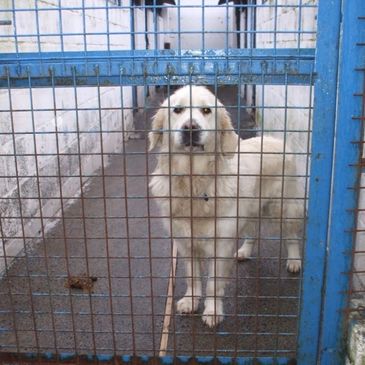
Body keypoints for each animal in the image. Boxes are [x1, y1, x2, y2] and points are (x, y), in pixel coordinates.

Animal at [148, 86, 302, 328]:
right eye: (177, 110)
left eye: (206, 110)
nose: (190, 128)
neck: (194, 181)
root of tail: (275, 139)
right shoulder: (185, 242)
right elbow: (192, 276)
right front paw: (191, 301)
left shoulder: (220, 246)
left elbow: (213, 283)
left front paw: (212, 311)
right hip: (249, 210)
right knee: (252, 232)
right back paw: (245, 251)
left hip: (284, 206)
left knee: (292, 234)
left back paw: (294, 260)